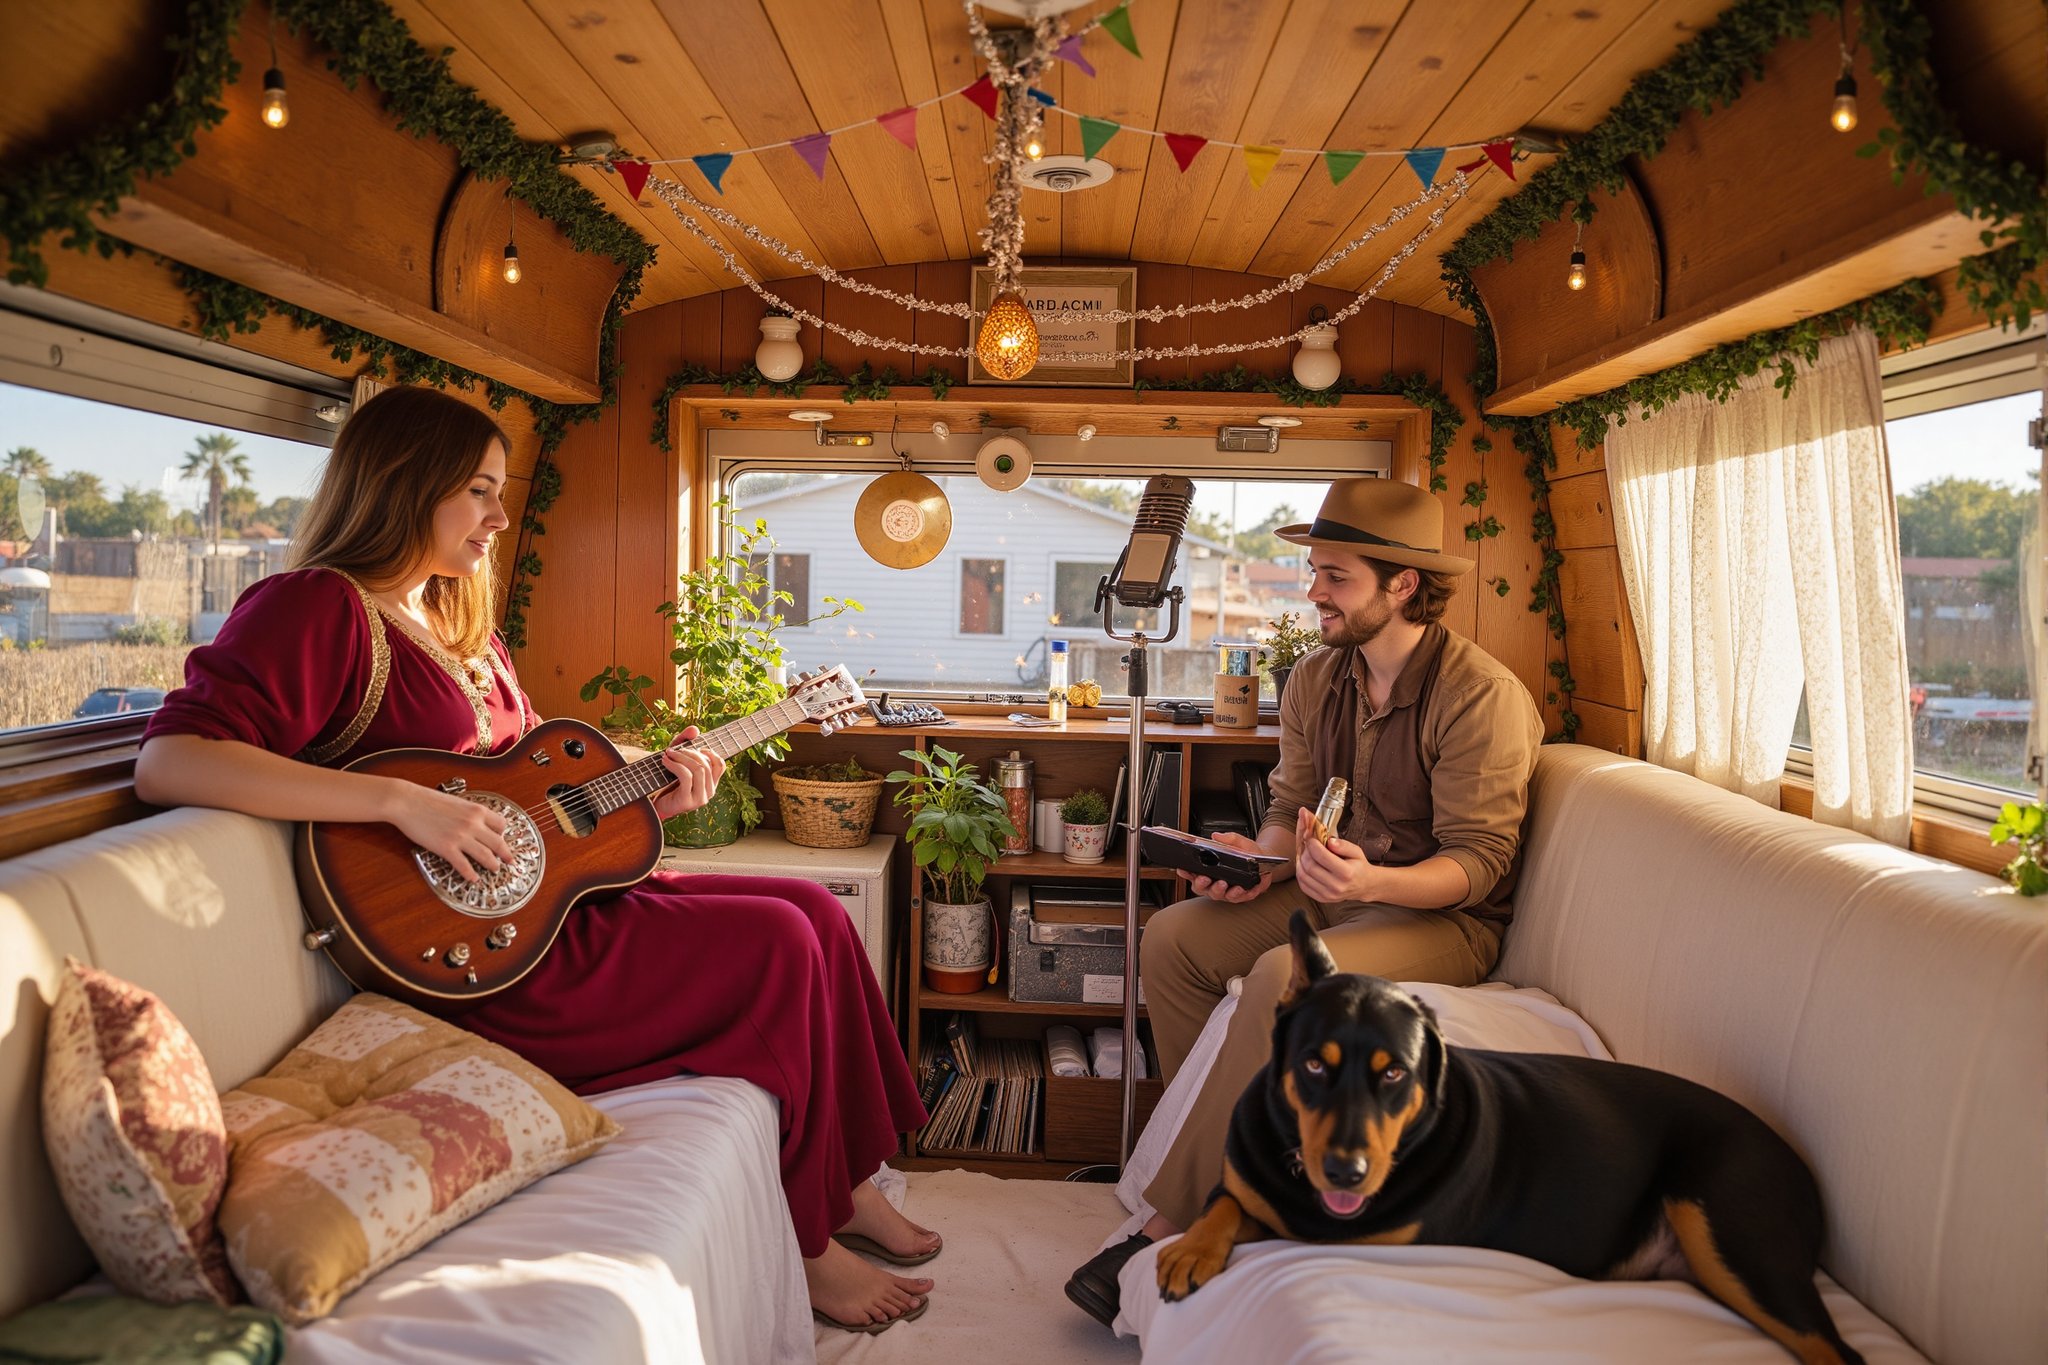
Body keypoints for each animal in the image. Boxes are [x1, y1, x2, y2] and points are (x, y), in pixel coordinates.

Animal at [1163, 912, 1867, 1358]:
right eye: (1314, 1065)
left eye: (1394, 1073)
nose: (1345, 1173)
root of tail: (1798, 1163)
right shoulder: (1255, 1190)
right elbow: (1226, 1202)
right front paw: (1190, 1250)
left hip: (1734, 1237)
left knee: (1832, 1349)